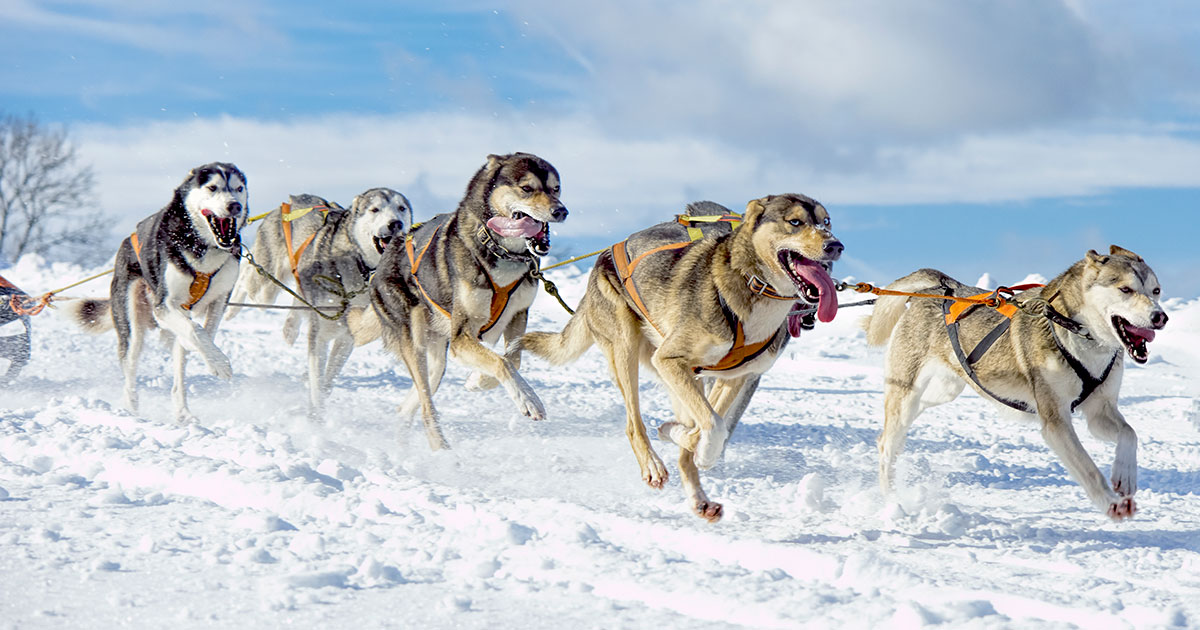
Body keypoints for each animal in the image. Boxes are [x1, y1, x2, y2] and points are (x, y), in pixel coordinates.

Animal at [70, 162, 248, 422]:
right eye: (212, 187)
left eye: (239, 188)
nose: (235, 206)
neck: (201, 245)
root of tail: (126, 242)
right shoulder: (164, 305)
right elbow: (196, 330)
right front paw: (220, 363)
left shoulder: (220, 299)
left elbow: (207, 331)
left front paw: (210, 356)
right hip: (131, 326)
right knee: (130, 374)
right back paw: (131, 411)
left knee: (178, 377)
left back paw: (183, 412)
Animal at [286, 187, 412, 417]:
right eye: (375, 209)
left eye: (401, 208)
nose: (395, 223)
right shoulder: (320, 333)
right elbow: (317, 382)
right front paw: (315, 418)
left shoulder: (347, 337)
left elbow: (328, 379)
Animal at [355, 151, 566, 448]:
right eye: (527, 188)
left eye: (556, 189)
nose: (561, 211)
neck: (500, 252)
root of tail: (382, 265)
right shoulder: (462, 336)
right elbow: (502, 361)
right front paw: (528, 400)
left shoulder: (517, 314)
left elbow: (513, 358)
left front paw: (479, 380)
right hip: (415, 342)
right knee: (426, 406)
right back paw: (441, 450)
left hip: (437, 360)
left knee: (415, 401)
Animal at [518, 194, 844, 518]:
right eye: (795, 222)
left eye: (826, 222)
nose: (835, 246)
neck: (751, 286)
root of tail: (606, 254)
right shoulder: (670, 360)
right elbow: (714, 425)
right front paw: (696, 447)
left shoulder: (734, 378)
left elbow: (714, 424)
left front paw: (692, 446)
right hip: (628, 351)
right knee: (634, 423)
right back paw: (653, 463)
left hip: (683, 378)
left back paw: (698, 493)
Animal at [868, 246, 1166, 520]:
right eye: (1125, 289)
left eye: (1156, 291)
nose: (1160, 317)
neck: (1075, 330)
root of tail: (942, 288)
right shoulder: (1055, 422)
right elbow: (1087, 468)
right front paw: (1111, 502)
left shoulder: (1099, 411)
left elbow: (1129, 433)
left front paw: (1125, 477)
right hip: (907, 395)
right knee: (886, 444)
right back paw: (890, 499)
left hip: (942, 391)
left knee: (893, 435)